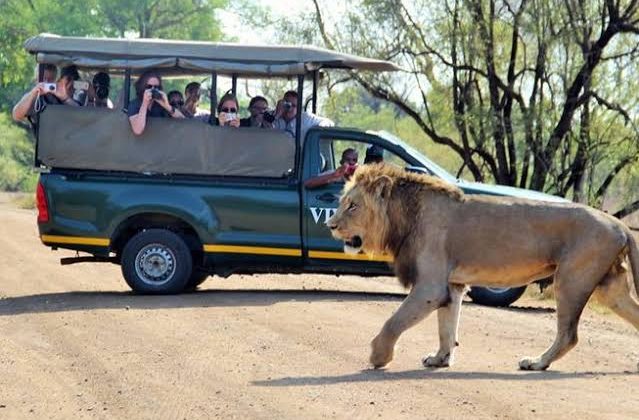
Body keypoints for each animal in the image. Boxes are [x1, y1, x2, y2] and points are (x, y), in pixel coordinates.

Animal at [328, 164, 639, 370]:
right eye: (343, 203)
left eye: (353, 206)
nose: (330, 225)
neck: (404, 216)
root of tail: (619, 223)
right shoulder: (451, 285)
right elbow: (447, 327)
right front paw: (440, 359)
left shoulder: (430, 286)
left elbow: (395, 320)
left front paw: (378, 356)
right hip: (610, 288)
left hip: (571, 280)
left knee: (568, 335)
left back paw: (536, 363)